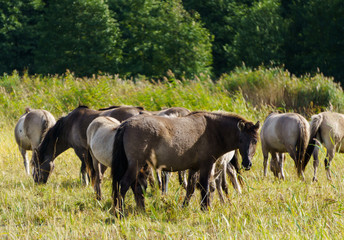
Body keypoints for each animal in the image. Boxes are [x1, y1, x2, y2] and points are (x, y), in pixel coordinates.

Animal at [111, 110, 260, 214]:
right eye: (241, 140)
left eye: (255, 141)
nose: (247, 163)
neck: (213, 130)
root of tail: (126, 124)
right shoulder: (206, 166)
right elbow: (205, 187)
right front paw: (205, 208)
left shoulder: (194, 168)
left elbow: (191, 188)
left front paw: (185, 206)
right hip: (135, 165)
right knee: (124, 185)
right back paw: (120, 212)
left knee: (136, 186)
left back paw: (140, 209)